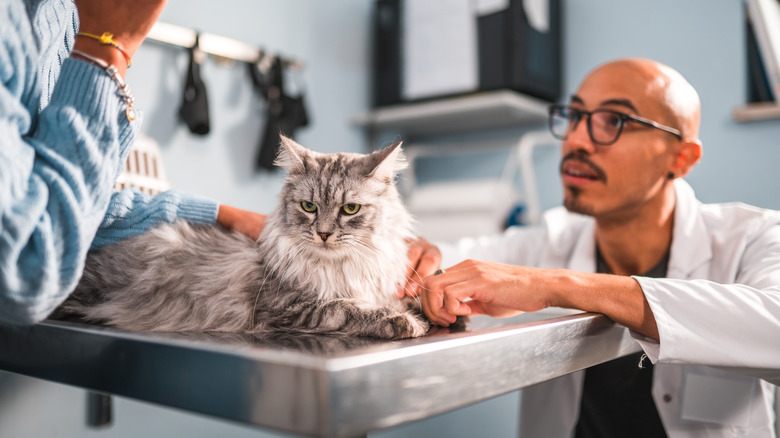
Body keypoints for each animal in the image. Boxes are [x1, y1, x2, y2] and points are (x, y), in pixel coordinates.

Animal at [53, 135, 432, 340]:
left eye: (350, 209)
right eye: (308, 206)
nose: (323, 234)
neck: (342, 267)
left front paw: (423, 306)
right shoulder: (290, 308)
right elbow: (348, 308)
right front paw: (404, 321)